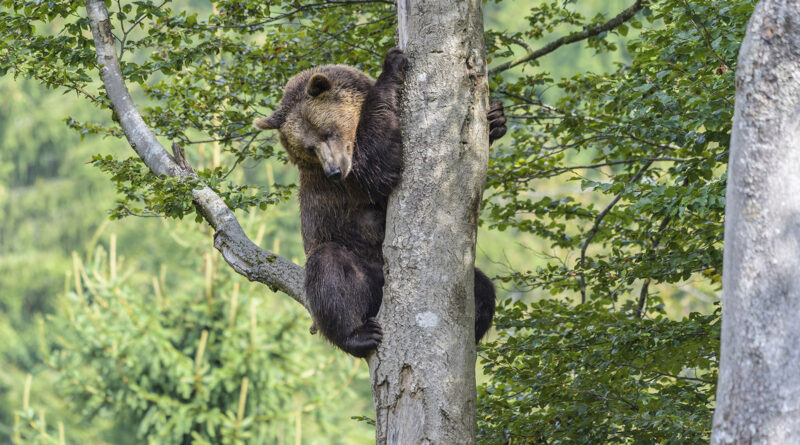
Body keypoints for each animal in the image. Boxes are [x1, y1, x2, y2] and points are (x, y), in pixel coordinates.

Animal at [255, 47, 506, 358]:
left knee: (481, 288)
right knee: (330, 271)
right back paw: (359, 334)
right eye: (309, 147)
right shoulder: (350, 180)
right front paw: (393, 64)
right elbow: (377, 167)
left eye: (327, 132)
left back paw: (471, 330)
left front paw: (496, 118)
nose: (334, 171)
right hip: (358, 260)